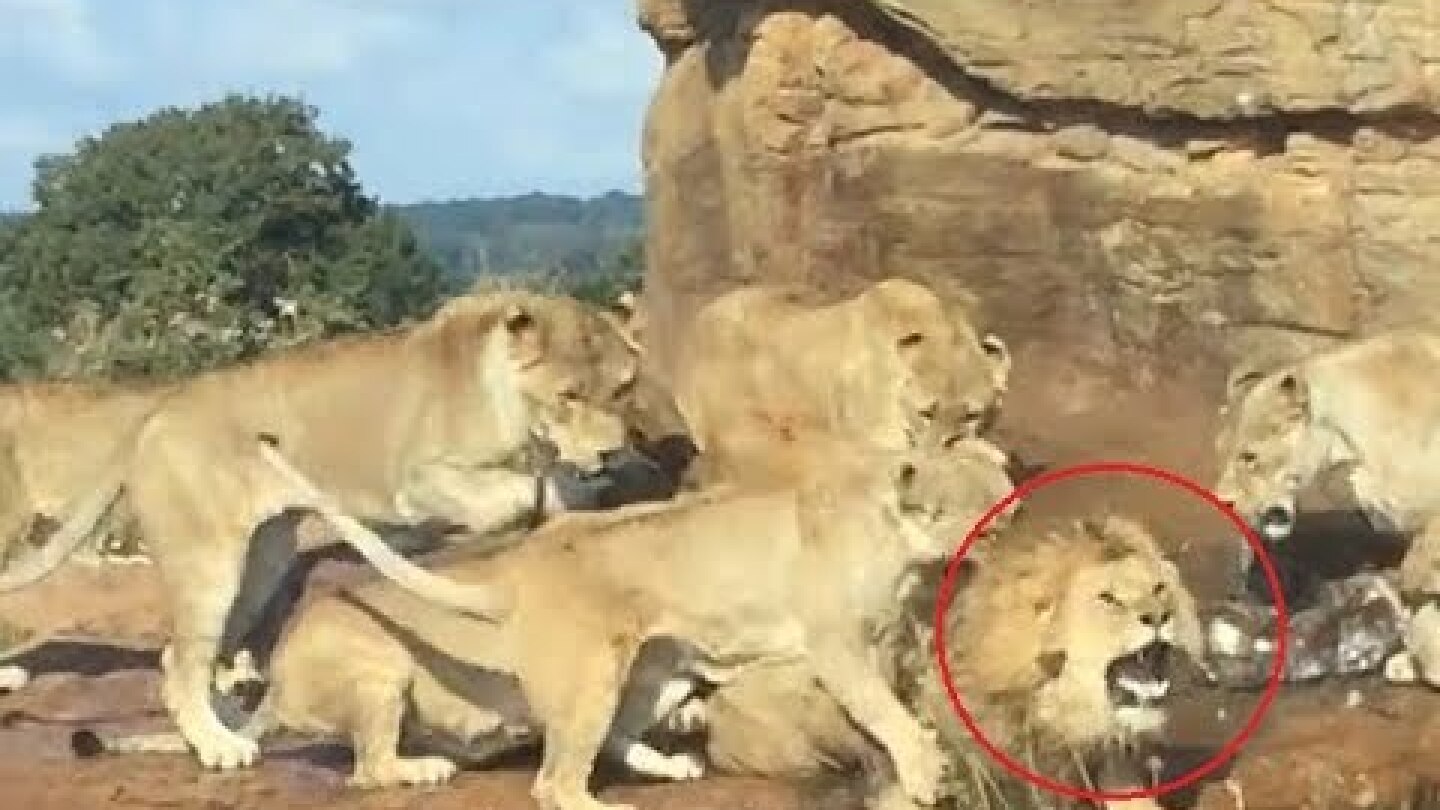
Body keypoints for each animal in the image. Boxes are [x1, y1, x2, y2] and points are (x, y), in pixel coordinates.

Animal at [0, 289, 643, 774]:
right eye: (569, 395)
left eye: (622, 389)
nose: (613, 453)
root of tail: (158, 407)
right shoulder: (417, 481)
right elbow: (507, 495)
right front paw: (541, 496)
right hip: (209, 565)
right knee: (181, 666)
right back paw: (222, 747)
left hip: (262, 562)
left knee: (180, 658)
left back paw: (231, 725)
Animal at [164, 432, 1014, 810]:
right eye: (982, 514)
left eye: (1001, 498)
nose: (1011, 527)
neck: (899, 539)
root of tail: (526, 566)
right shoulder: (836, 645)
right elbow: (885, 713)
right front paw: (923, 769)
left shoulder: (887, 638)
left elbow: (900, 702)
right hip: (552, 676)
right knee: (545, 781)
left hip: (658, 667)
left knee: (611, 737)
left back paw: (669, 767)